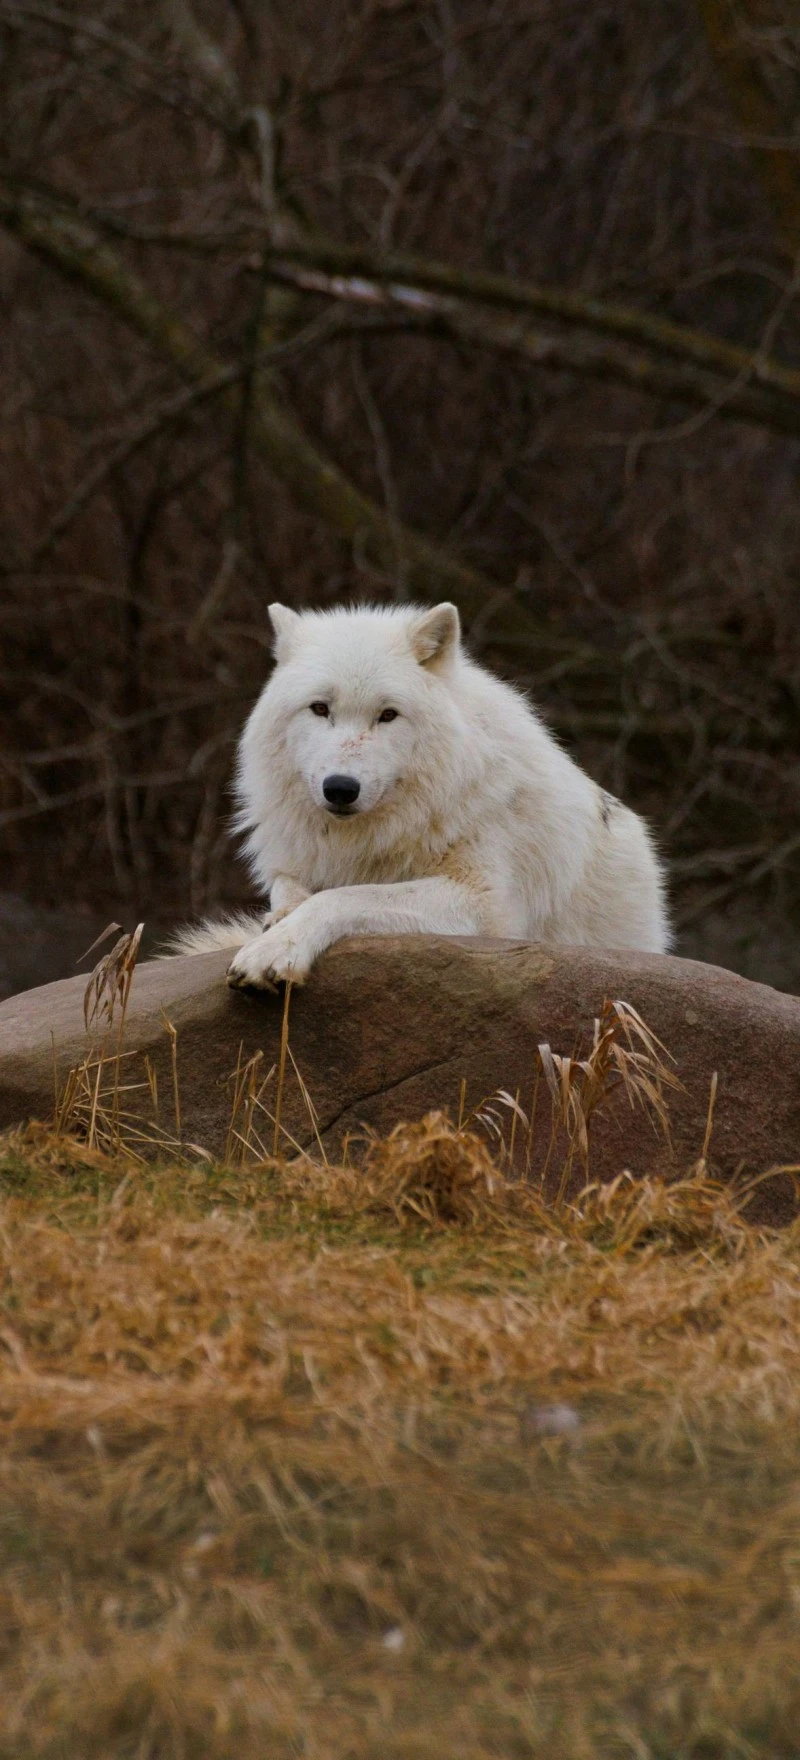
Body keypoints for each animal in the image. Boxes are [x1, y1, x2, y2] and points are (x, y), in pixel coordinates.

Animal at [173, 600, 670, 987]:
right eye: (320, 709)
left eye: (388, 715)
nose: (340, 789)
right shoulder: (296, 862)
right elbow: (290, 888)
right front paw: (278, 921)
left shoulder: (485, 904)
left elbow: (344, 896)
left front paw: (277, 948)